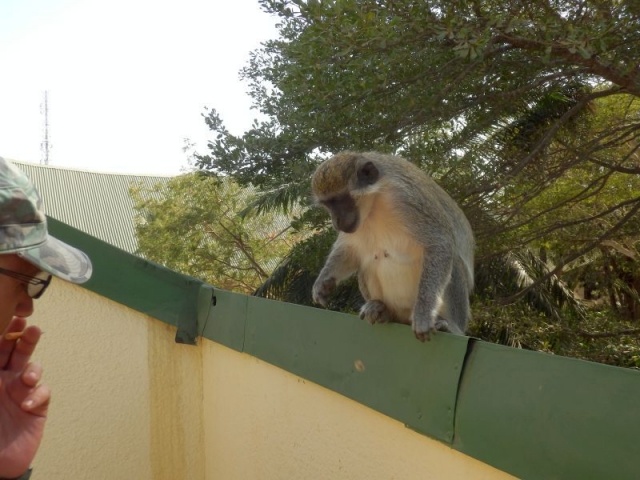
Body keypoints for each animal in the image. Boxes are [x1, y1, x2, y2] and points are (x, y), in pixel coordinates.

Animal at [312, 151, 476, 342]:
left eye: (340, 200)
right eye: (328, 205)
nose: (335, 222)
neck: (375, 201)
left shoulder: (406, 198)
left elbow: (439, 243)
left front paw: (424, 313)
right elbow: (349, 251)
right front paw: (323, 282)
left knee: (454, 261)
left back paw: (450, 326)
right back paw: (381, 309)